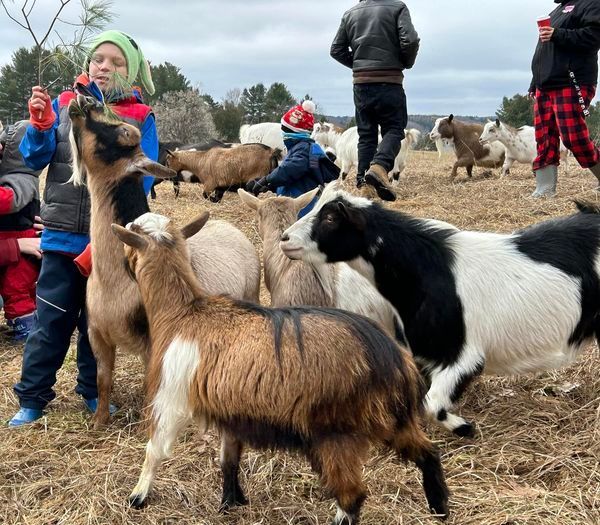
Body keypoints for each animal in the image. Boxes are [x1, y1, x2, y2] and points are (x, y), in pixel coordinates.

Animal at [68, 94, 260, 424]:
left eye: (126, 133)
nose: (84, 99)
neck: (117, 279)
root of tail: (229, 226)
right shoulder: (98, 335)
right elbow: (103, 380)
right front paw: (99, 421)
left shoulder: (154, 343)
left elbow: (152, 388)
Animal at [282, 182, 600, 436]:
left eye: (331, 217)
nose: (285, 238)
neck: (428, 268)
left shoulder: (461, 356)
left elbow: (432, 404)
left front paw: (465, 428)